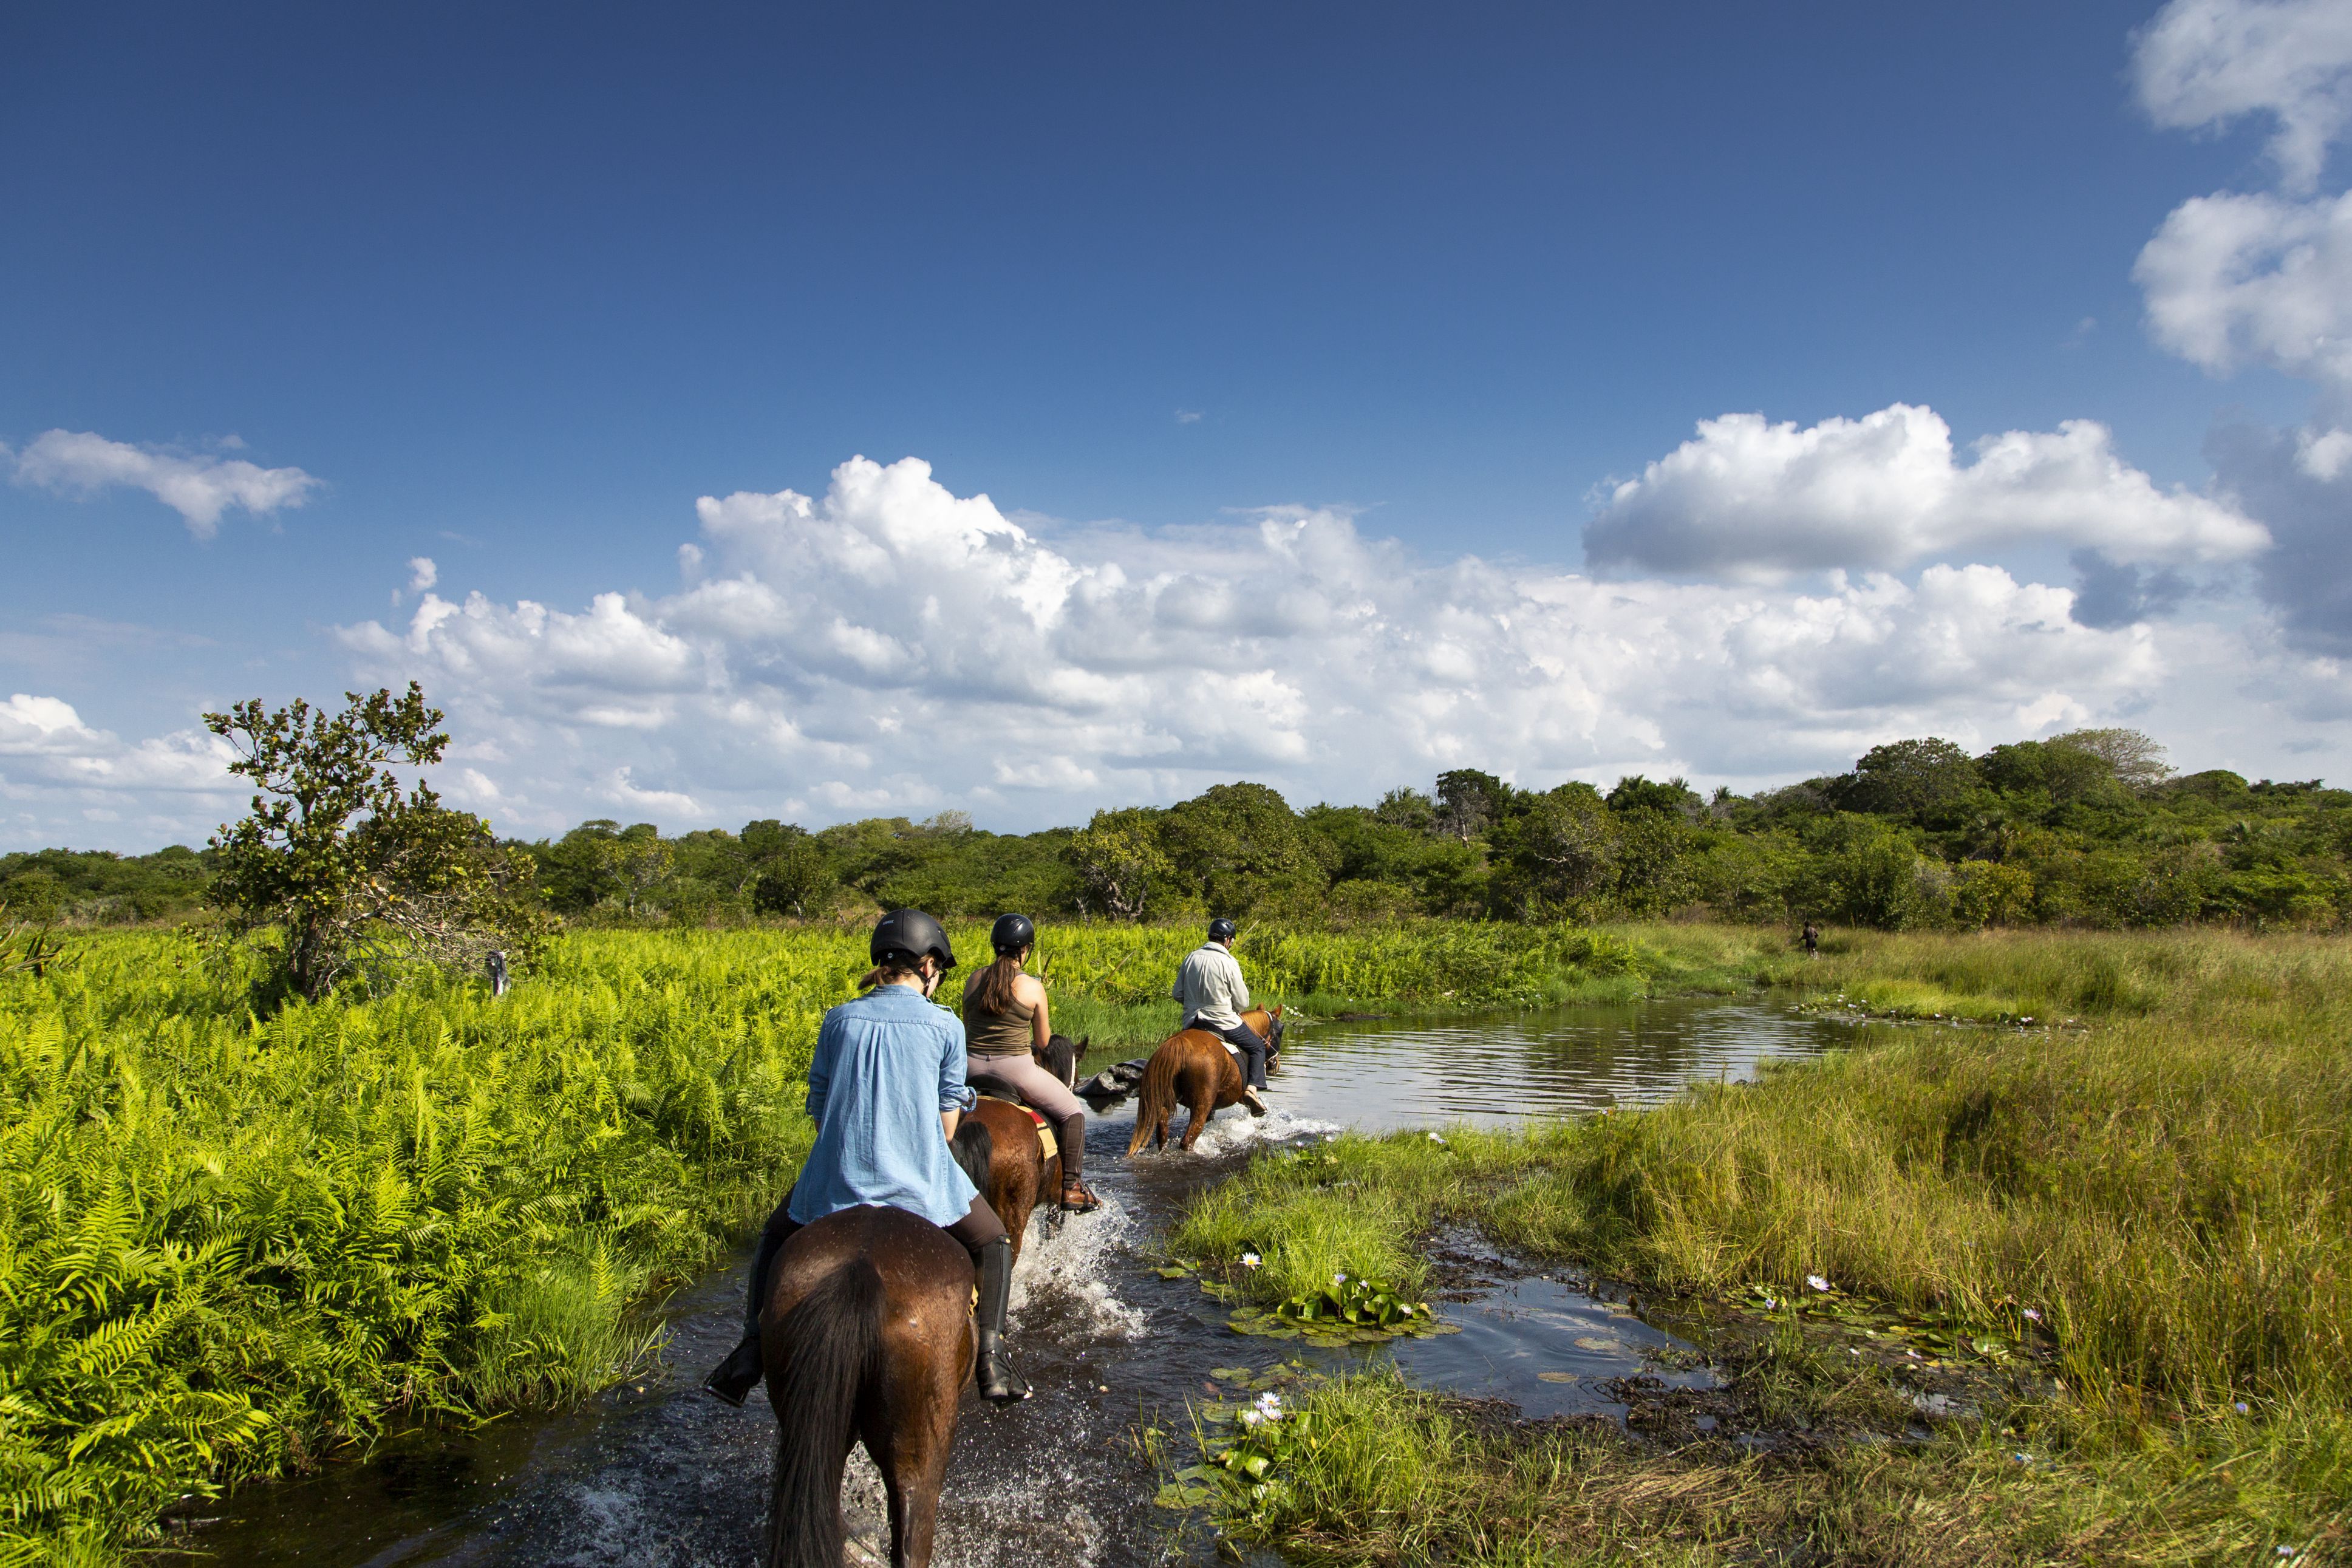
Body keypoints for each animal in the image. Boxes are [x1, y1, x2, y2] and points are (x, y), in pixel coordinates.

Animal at [1119, 1006, 1289, 1151]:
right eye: (1280, 1032)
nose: (1276, 1065)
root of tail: (1179, 1043)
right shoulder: (1239, 1095)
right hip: (1201, 1106)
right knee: (1187, 1140)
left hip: (1165, 1102)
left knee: (1163, 1135)